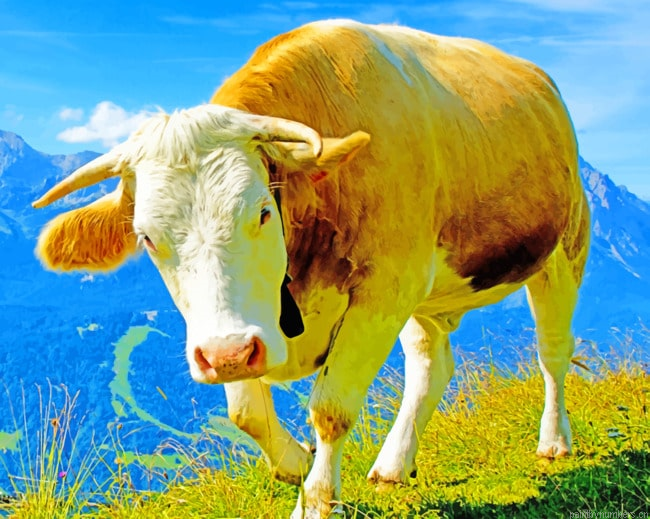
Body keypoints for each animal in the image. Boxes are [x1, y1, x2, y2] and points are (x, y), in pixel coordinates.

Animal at [32, 19, 589, 518]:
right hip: (428, 295)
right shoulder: (239, 326)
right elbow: (246, 412)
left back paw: (554, 441)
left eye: (262, 211)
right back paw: (394, 465)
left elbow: (331, 408)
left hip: (564, 249)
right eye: (147, 238)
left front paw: (316, 502)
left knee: (553, 352)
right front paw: (297, 462)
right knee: (431, 364)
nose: (226, 355)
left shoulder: (383, 292)